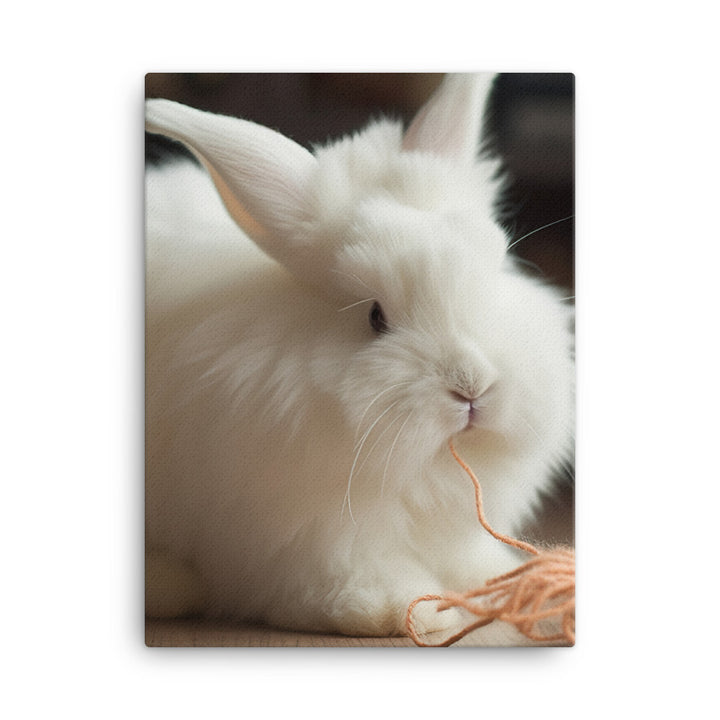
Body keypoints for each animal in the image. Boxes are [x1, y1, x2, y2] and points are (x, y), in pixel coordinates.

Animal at [144, 73, 574, 642]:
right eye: (375, 317)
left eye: (496, 273)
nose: (472, 387)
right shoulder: (302, 538)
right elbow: (345, 582)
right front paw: (406, 609)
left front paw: (500, 580)